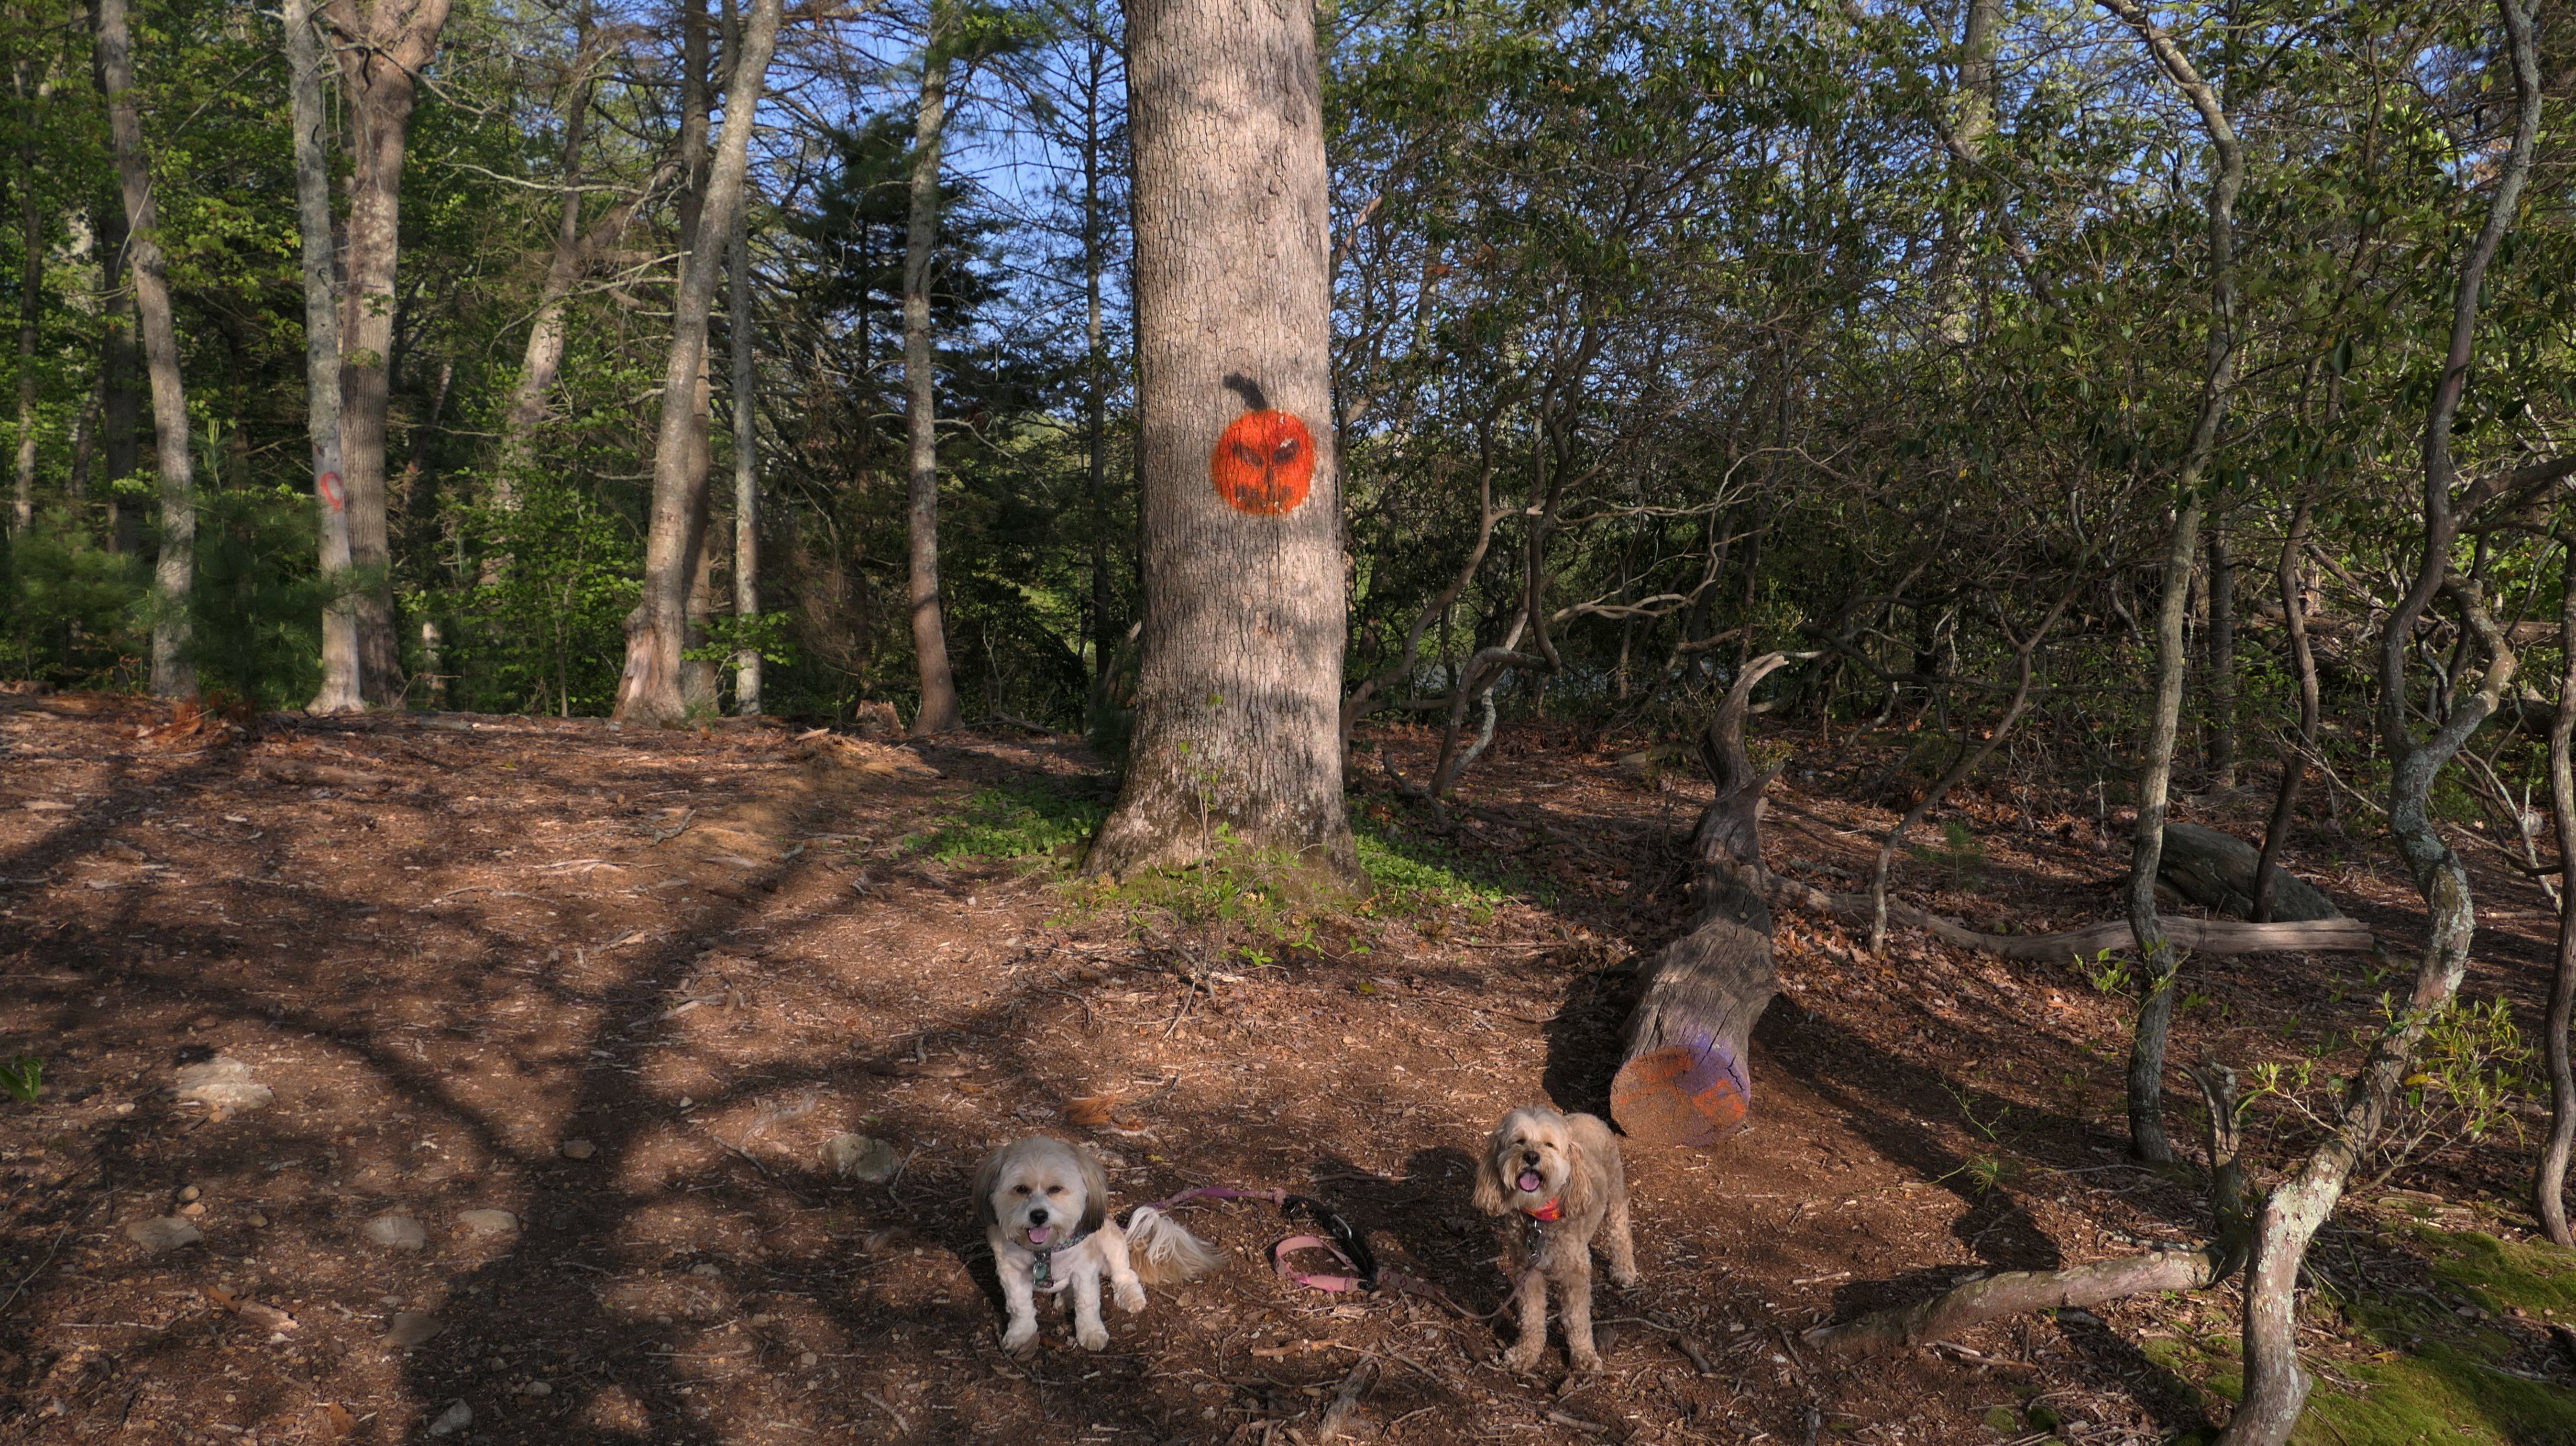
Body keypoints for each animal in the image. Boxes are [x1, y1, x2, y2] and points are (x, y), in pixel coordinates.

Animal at [972, 1136, 1223, 1354]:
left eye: (1056, 1189)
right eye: (1021, 1189)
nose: (1039, 1215)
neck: (1045, 1251)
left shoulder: (1085, 1269)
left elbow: (1088, 1303)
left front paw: (1091, 1333)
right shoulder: (1010, 1272)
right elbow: (1019, 1305)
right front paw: (1021, 1334)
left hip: (1112, 1244)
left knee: (1125, 1276)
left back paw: (1129, 1296)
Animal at [1473, 1106, 1639, 1372]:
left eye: (1549, 1145)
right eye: (1519, 1141)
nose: (1531, 1156)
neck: (1541, 1217)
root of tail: (1588, 1115)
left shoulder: (1576, 1273)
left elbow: (1577, 1318)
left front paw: (1584, 1355)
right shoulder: (1527, 1272)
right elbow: (1531, 1316)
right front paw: (1525, 1353)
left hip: (1615, 1193)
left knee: (1620, 1232)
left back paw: (1624, 1271)